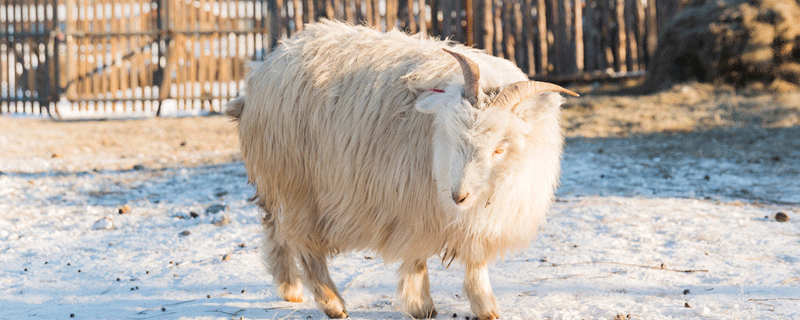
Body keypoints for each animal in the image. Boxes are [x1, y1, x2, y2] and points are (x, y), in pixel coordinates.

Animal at [228, 20, 580, 320]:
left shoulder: (476, 218)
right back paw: (332, 303)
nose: (458, 196)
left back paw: (290, 288)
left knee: (275, 230)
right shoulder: (411, 204)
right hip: (298, 186)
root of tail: (264, 67)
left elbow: (475, 258)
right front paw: (421, 304)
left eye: (498, 148)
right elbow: (416, 255)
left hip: (280, 183)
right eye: (451, 134)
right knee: (306, 246)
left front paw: (484, 307)